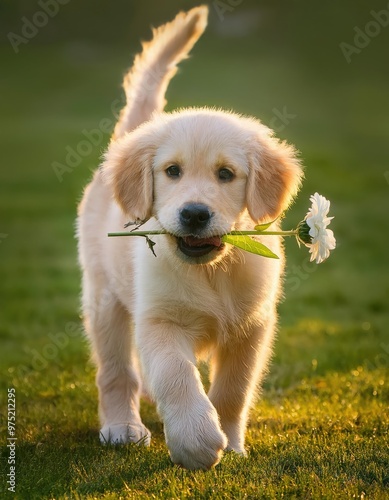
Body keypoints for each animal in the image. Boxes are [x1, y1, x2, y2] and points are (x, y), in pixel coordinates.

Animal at [77, 5, 302, 470]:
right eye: (172, 171)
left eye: (225, 174)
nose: (194, 214)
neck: (210, 272)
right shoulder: (160, 320)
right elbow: (176, 375)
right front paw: (196, 442)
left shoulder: (252, 326)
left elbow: (233, 390)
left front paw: (230, 443)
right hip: (104, 297)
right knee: (116, 371)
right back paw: (122, 427)